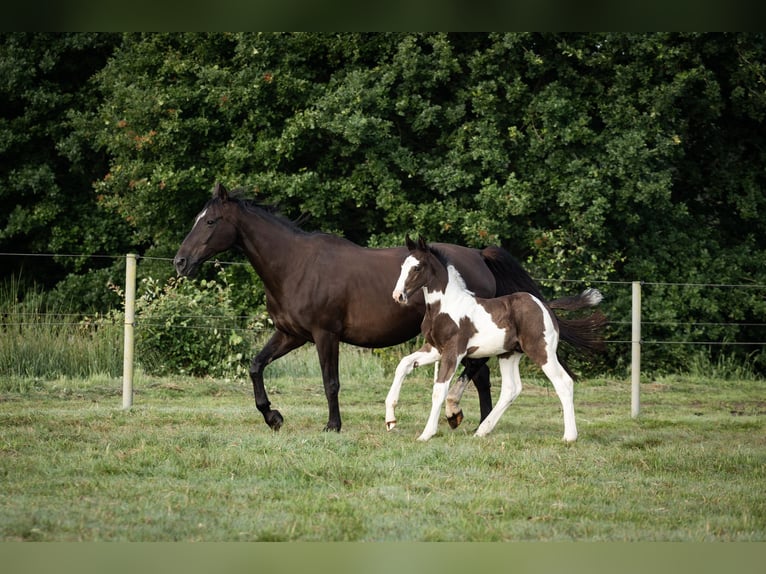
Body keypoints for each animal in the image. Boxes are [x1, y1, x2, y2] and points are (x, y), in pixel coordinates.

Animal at [388, 236, 608, 444]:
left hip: (542, 351)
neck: (445, 306)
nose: (398, 295)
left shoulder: (453, 351)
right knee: (511, 389)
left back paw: (569, 436)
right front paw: (390, 420)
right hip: (509, 354)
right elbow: (404, 364)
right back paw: (482, 431)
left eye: (417, 267)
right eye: (402, 266)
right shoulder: (435, 349)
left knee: (563, 382)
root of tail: (545, 305)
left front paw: (426, 434)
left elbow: (439, 390)